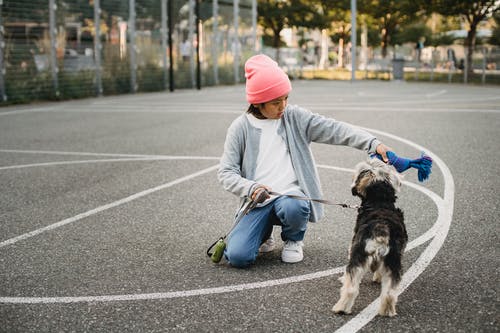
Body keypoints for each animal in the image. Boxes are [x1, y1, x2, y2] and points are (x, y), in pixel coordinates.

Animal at [332, 158, 406, 316]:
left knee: (351, 287)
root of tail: (381, 228)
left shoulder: (353, 246)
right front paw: (377, 276)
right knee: (390, 292)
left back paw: (340, 308)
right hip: (393, 260)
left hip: (358, 256)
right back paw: (387, 311)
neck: (380, 202)